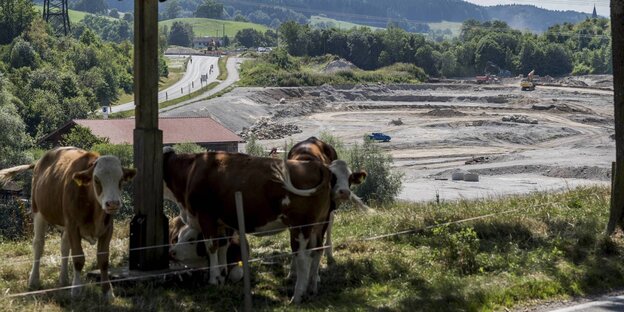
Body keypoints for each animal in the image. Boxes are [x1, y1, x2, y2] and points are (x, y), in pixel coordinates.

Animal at [0, 147, 136, 302]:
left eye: (121, 180)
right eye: (96, 179)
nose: (112, 203)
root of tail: (40, 160)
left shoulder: (107, 229)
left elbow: (103, 260)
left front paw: (108, 292)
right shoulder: (73, 226)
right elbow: (78, 258)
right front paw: (76, 290)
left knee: (64, 247)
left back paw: (64, 279)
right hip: (38, 211)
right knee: (38, 245)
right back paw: (34, 281)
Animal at [163, 150, 334, 304]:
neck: (192, 170)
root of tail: (317, 166)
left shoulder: (206, 217)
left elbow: (211, 247)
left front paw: (213, 279)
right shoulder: (223, 222)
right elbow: (222, 246)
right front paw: (222, 276)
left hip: (301, 227)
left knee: (303, 258)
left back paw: (297, 296)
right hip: (319, 225)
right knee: (317, 251)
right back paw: (312, 288)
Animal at [288, 136, 370, 264]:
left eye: (350, 178)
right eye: (333, 177)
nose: (344, 192)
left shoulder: (323, 216)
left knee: (329, 227)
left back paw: (329, 253)